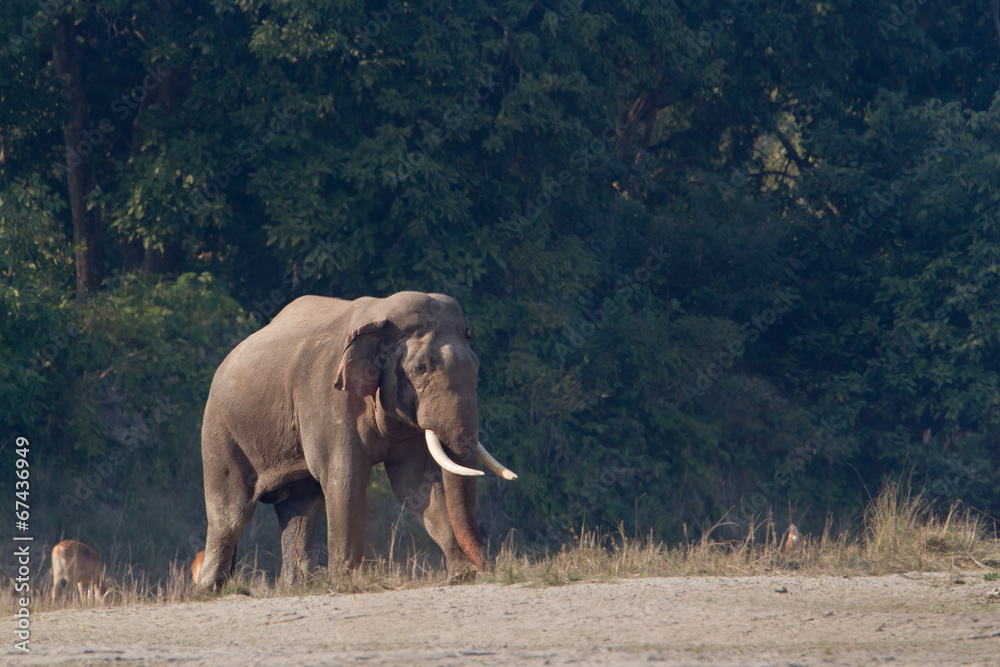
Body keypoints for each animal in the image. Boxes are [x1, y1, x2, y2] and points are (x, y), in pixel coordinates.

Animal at [197, 291, 517, 589]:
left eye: (476, 364)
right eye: (420, 369)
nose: (488, 569)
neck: (381, 315)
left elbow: (416, 483)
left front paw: (463, 576)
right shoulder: (329, 399)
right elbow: (345, 478)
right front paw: (346, 582)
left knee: (301, 507)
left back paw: (301, 586)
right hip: (220, 431)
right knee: (231, 512)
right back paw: (210, 589)